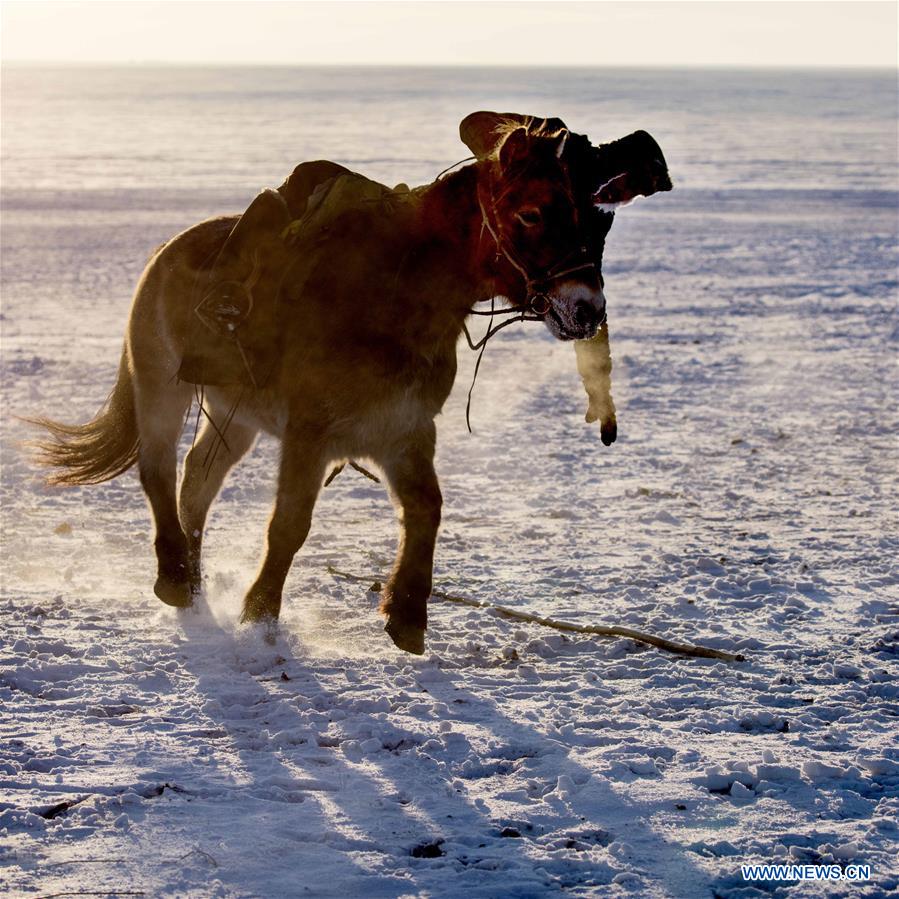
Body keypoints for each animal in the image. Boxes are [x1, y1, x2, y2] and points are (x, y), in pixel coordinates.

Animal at [31, 116, 668, 656]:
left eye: (601, 221)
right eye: (533, 214)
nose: (586, 309)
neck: (394, 293)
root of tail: (167, 250)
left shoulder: (403, 430)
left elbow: (426, 508)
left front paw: (406, 616)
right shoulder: (311, 434)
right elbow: (290, 524)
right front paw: (260, 614)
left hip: (236, 417)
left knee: (197, 480)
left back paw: (193, 575)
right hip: (162, 384)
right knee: (159, 470)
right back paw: (174, 576)